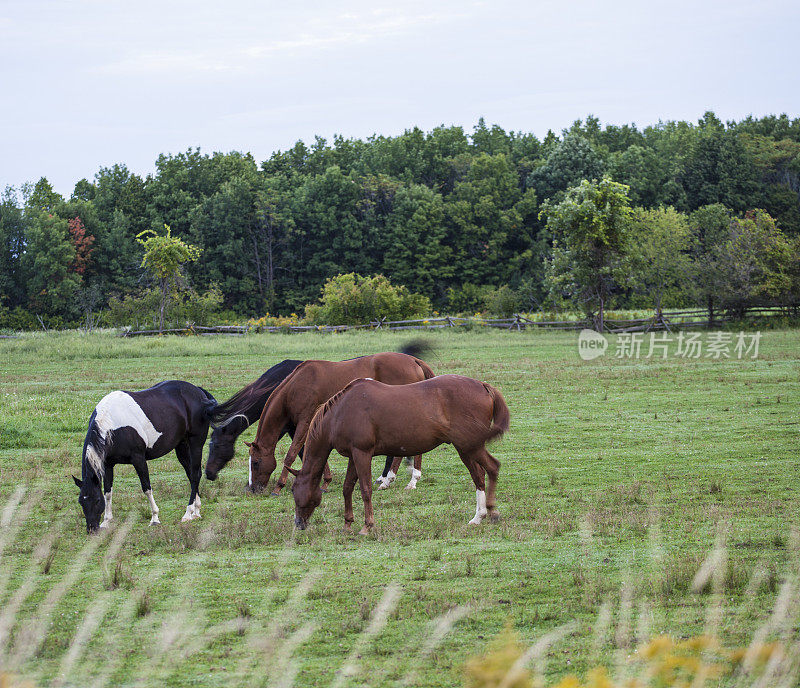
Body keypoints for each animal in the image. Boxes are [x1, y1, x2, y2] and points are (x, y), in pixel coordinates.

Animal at [70, 382, 216, 532]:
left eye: (97, 500)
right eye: (81, 501)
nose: (92, 529)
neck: (111, 423)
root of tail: (199, 391)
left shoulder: (138, 459)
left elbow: (146, 487)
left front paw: (155, 518)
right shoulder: (108, 464)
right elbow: (108, 492)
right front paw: (106, 521)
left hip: (196, 443)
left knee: (195, 475)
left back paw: (188, 513)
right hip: (181, 446)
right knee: (191, 475)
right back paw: (196, 511)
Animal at [250, 352, 438, 498]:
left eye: (256, 462)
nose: (252, 489)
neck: (296, 386)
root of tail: (414, 360)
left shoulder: (305, 421)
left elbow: (291, 454)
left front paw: (278, 487)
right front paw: (325, 483)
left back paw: (409, 480)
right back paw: (390, 480)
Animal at [290, 374, 510, 536]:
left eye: (294, 491)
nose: (298, 524)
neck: (341, 412)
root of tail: (483, 386)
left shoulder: (362, 453)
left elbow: (365, 489)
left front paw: (367, 526)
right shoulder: (354, 456)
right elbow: (347, 488)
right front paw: (347, 524)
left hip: (469, 446)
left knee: (492, 468)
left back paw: (490, 511)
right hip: (466, 449)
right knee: (479, 476)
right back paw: (479, 516)